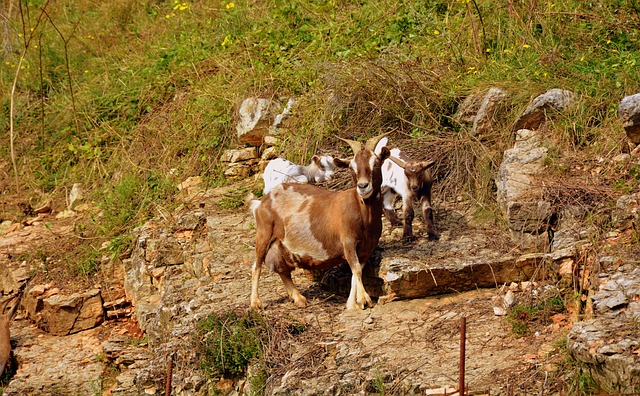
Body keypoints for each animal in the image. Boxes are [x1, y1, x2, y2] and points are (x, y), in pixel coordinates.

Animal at [249, 135, 390, 310]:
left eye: (376, 163)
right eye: (351, 167)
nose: (363, 186)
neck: (364, 214)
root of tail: (264, 200)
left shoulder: (366, 249)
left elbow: (355, 272)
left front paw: (351, 304)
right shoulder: (348, 242)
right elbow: (356, 269)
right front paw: (364, 300)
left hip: (280, 244)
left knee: (283, 270)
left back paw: (298, 298)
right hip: (264, 233)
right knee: (256, 266)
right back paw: (255, 303)